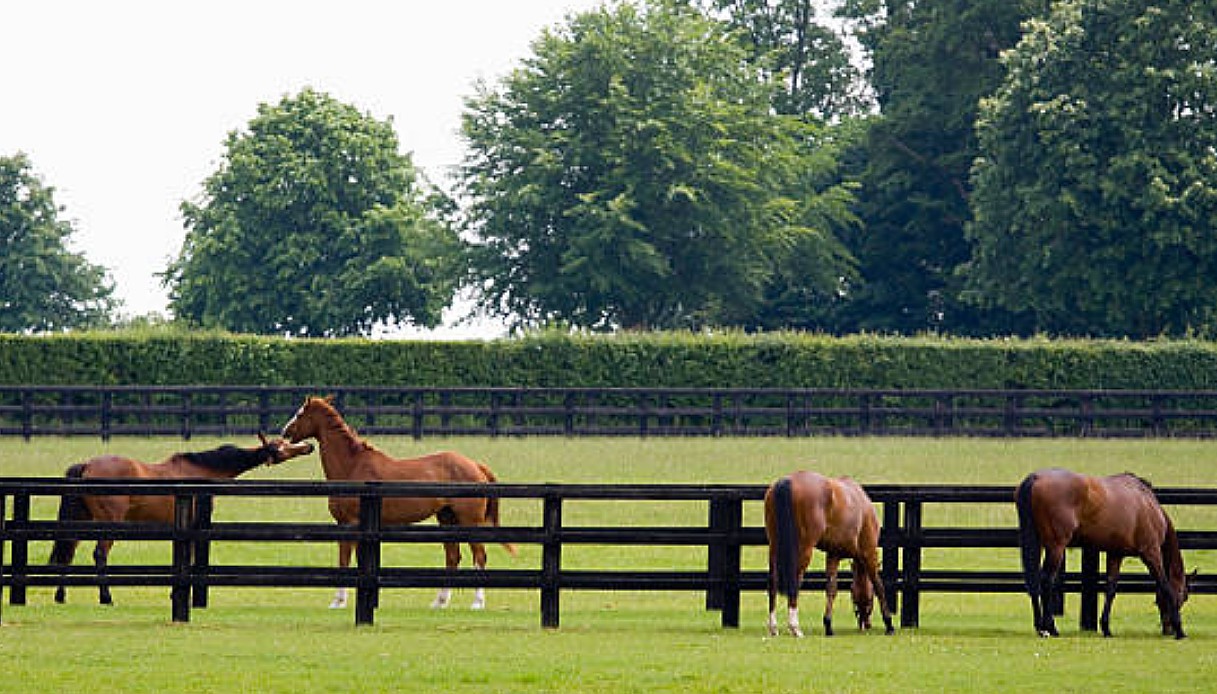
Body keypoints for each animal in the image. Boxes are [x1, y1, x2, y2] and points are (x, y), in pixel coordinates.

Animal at [47, 428, 313, 601]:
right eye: (282, 446)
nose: (308, 446)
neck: (202, 471)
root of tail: (87, 465)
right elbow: (191, 559)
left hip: (82, 520)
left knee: (67, 552)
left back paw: (61, 596)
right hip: (109, 524)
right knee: (99, 555)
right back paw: (106, 597)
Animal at [282, 392, 516, 608]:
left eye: (300, 413)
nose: (285, 432)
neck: (352, 466)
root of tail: (476, 465)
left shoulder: (350, 523)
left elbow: (346, 560)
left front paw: (338, 601)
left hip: (469, 522)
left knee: (479, 556)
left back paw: (477, 602)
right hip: (447, 519)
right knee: (453, 557)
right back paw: (439, 602)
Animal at [764, 467, 900, 633]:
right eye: (869, 599)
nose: (865, 624)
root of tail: (787, 480)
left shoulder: (833, 555)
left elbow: (831, 588)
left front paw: (828, 624)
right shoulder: (869, 552)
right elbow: (878, 585)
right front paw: (889, 623)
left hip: (774, 547)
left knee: (773, 581)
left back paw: (773, 627)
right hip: (804, 548)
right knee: (795, 581)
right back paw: (795, 627)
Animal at [1012, 465, 1192, 637]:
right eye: (1183, 597)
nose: (1168, 630)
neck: (1148, 505)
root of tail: (1035, 477)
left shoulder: (1115, 554)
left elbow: (1110, 589)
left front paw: (1106, 628)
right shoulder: (1151, 552)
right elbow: (1165, 585)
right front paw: (1180, 630)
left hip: (1040, 543)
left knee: (1034, 581)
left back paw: (1040, 627)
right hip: (1056, 547)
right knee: (1046, 581)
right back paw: (1050, 627)